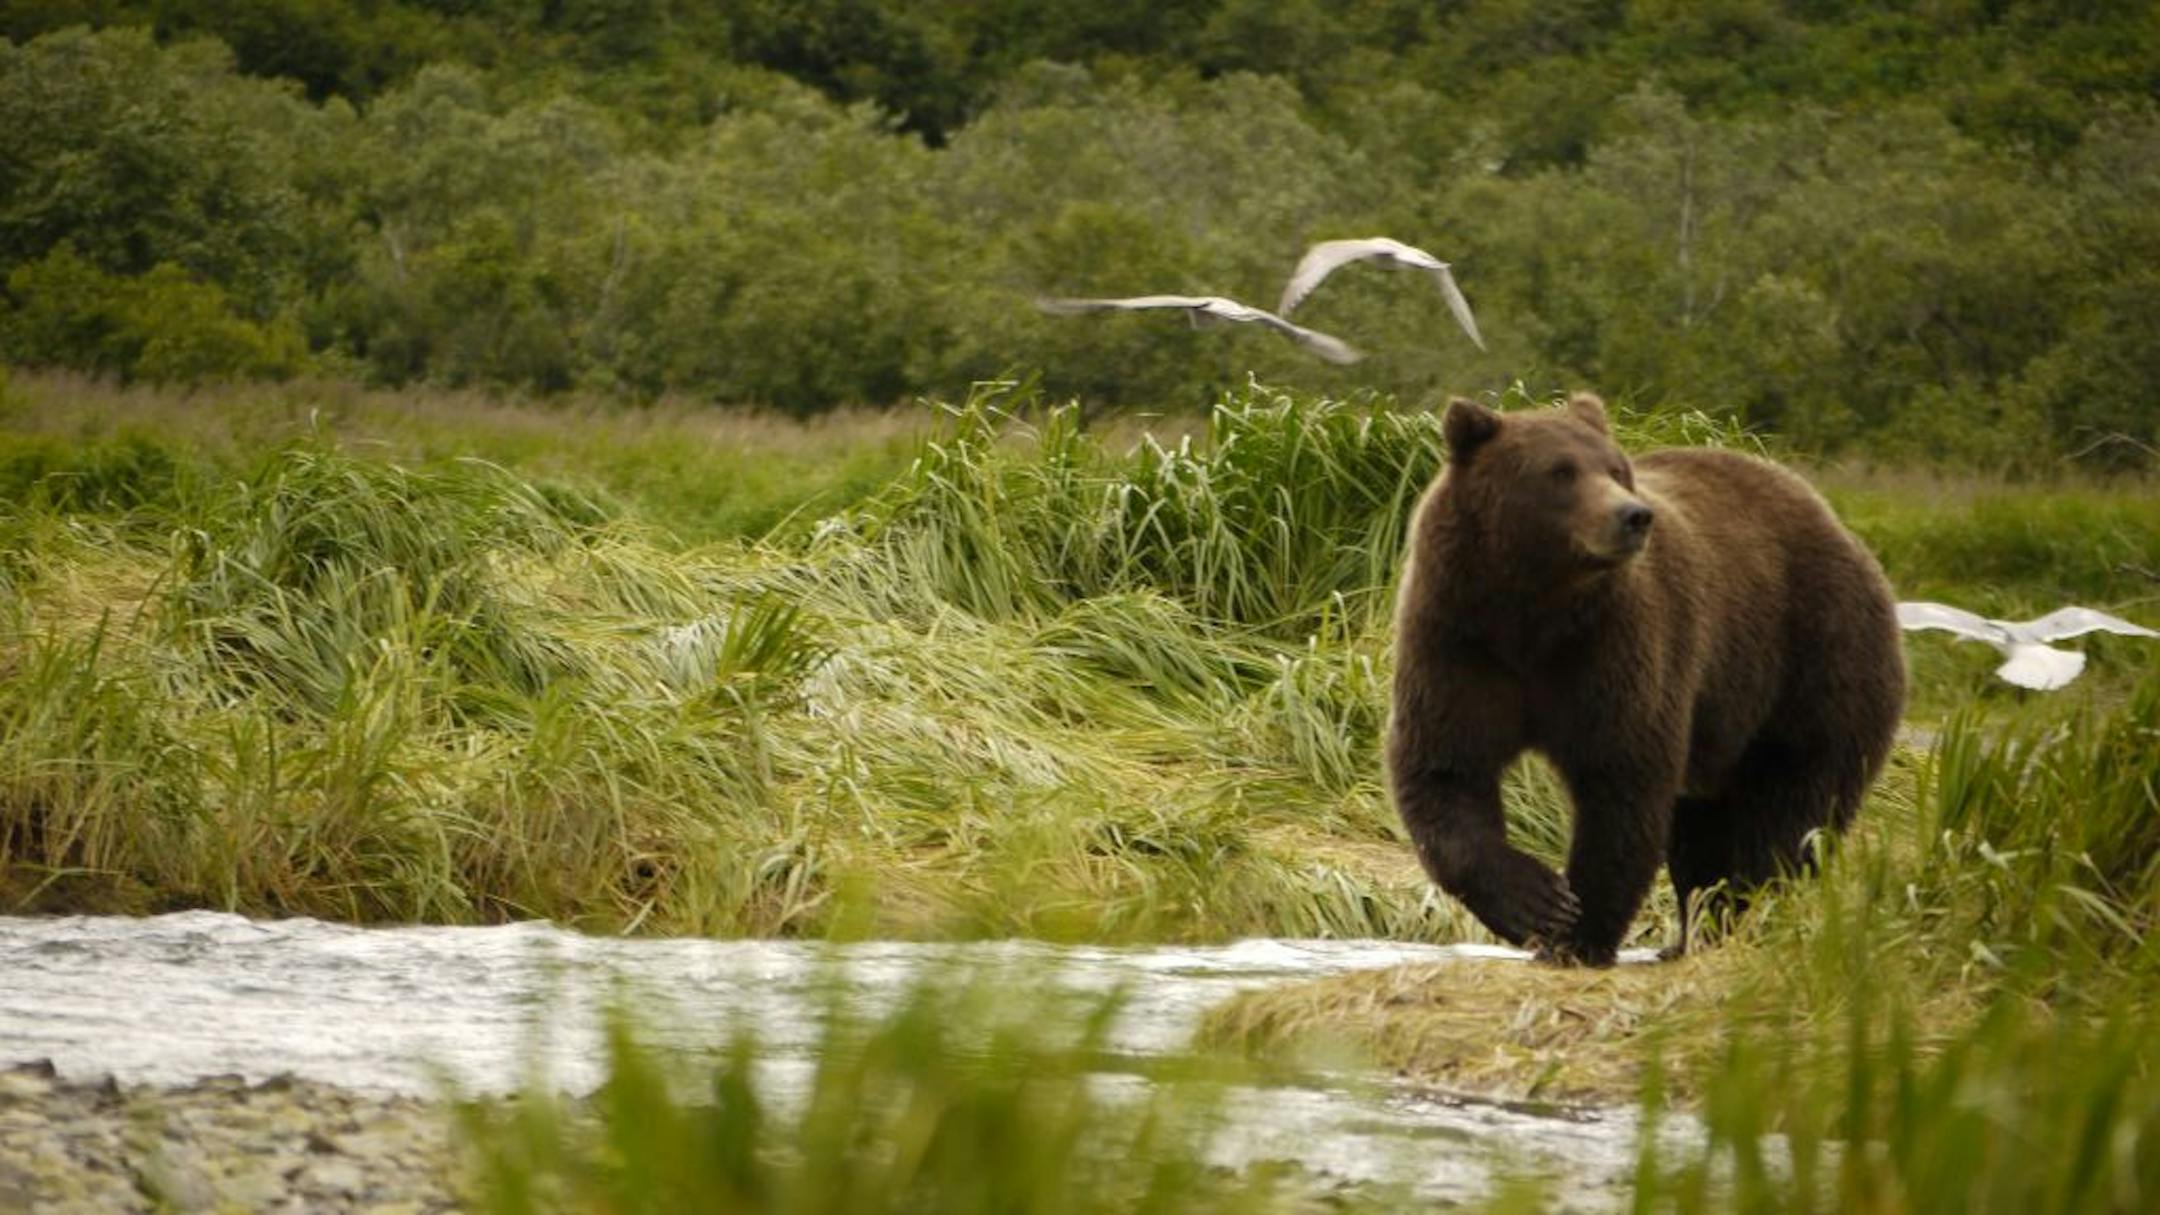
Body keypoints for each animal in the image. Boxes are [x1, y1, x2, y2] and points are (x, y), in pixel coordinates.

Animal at [1386, 393, 1905, 965]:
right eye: (1560, 471)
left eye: (1615, 469)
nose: (1633, 516)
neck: (1535, 611)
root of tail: (1840, 527)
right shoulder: (1459, 639)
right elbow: (1446, 767)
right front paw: (1533, 901)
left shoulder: (1615, 647)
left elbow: (1622, 779)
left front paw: (1576, 933)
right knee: (1702, 829)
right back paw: (1694, 930)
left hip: (1815, 657)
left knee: (1791, 808)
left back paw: (1746, 909)